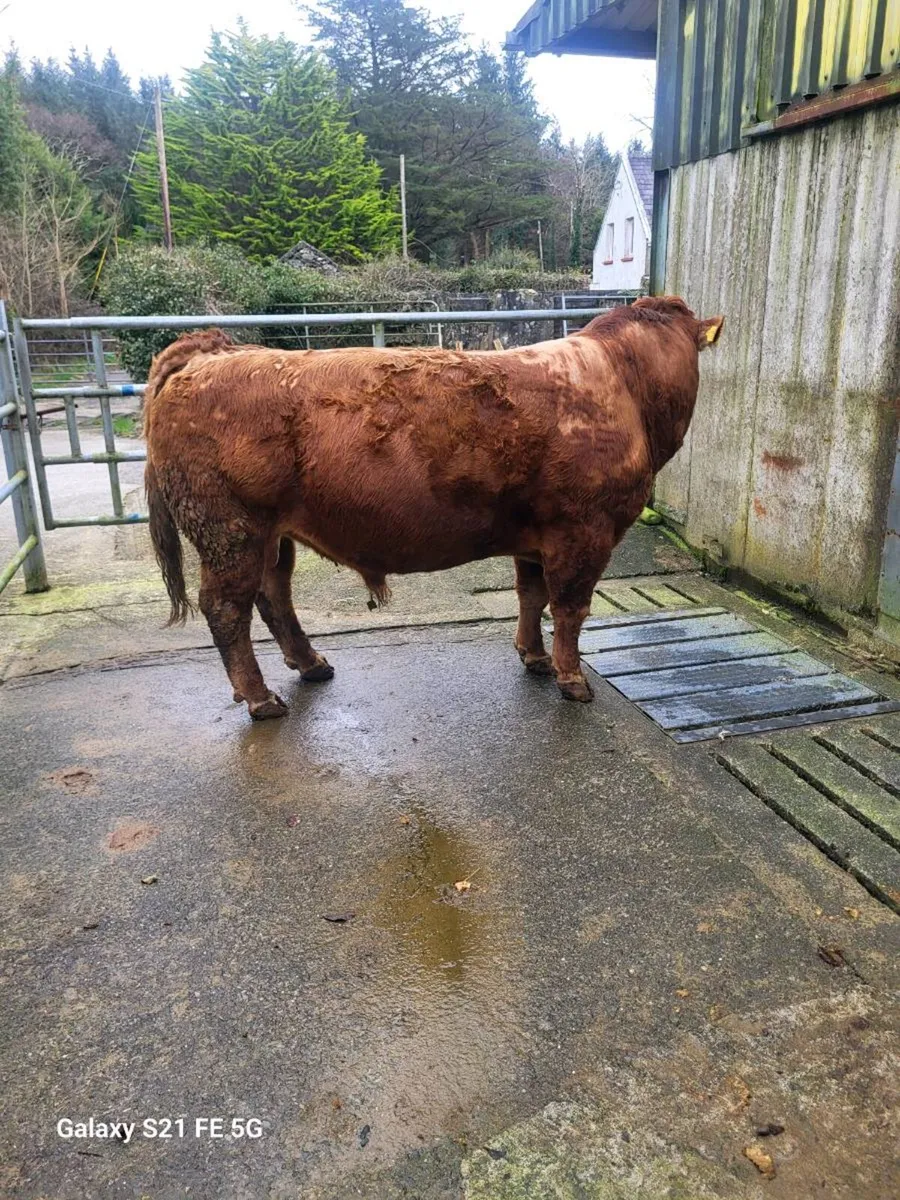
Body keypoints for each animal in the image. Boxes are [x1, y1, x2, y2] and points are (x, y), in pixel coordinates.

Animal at [144, 296, 724, 718]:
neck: (624, 385)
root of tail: (213, 351)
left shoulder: (536, 536)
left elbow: (531, 596)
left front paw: (533, 657)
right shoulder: (584, 529)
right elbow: (570, 608)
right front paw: (572, 679)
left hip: (269, 535)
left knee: (272, 595)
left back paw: (311, 665)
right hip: (229, 529)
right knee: (227, 609)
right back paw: (262, 699)